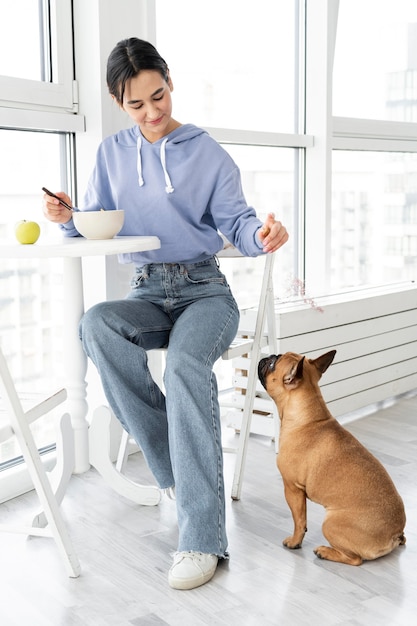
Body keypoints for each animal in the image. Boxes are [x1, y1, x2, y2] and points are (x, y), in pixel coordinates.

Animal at [258, 352, 404, 564]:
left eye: (271, 364)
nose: (267, 356)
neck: (307, 418)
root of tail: (395, 534)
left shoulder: (292, 488)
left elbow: (299, 520)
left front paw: (294, 542)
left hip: (330, 524)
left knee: (355, 559)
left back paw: (325, 552)